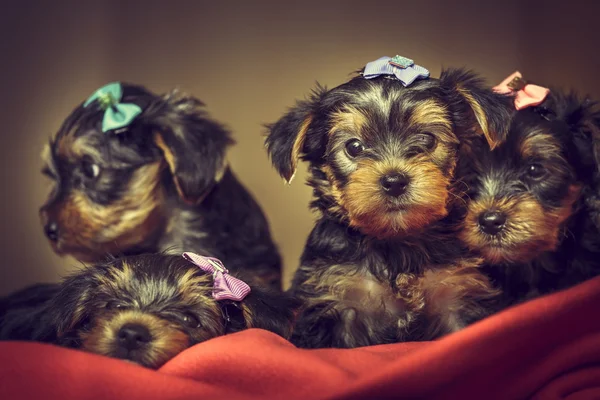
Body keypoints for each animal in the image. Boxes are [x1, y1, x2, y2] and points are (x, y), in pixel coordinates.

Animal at [264, 55, 512, 346]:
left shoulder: (456, 294)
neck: (397, 240)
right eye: (354, 147)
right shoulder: (337, 299)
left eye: (427, 139)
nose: (394, 181)